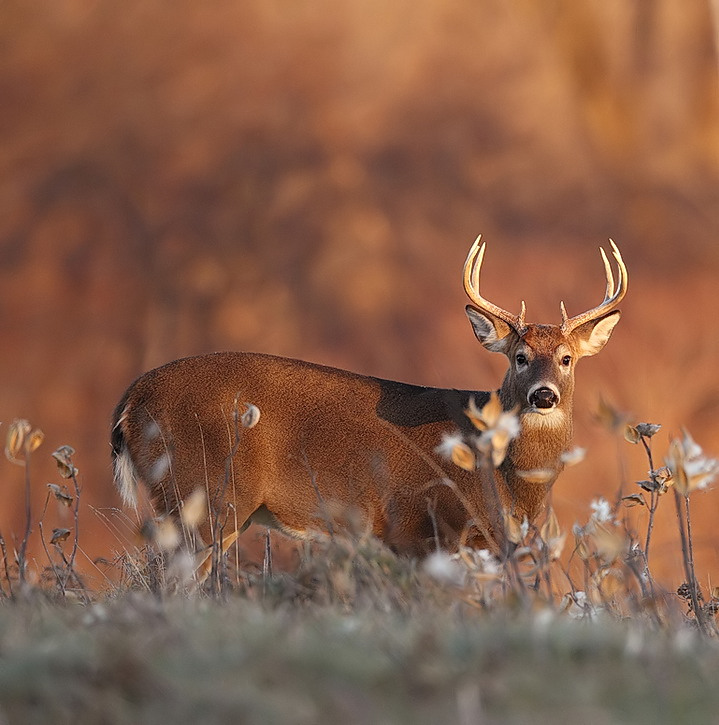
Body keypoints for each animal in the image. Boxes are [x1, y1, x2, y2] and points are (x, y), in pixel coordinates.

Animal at [109, 240, 628, 556]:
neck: (505, 477)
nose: (544, 395)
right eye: (520, 357)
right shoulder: (426, 527)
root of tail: (131, 400)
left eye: (566, 358)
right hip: (204, 494)